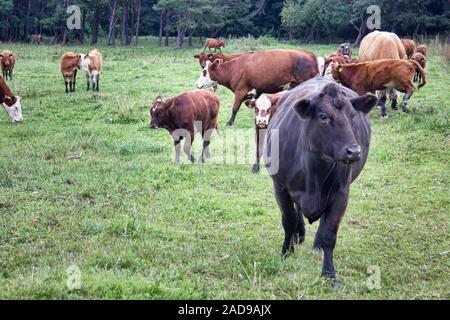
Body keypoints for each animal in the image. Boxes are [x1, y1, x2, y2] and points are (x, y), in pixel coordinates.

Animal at [266, 78, 378, 288]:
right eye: (323, 116)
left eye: (353, 116)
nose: (354, 151)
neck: (314, 170)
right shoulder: (280, 187)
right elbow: (288, 221)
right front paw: (286, 253)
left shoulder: (341, 194)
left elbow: (329, 234)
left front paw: (329, 274)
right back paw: (299, 235)